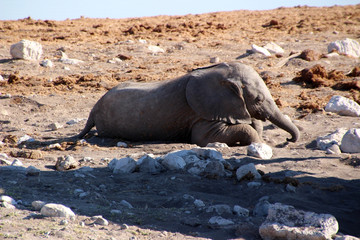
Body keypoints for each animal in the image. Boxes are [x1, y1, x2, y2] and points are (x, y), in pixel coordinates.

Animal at [77, 61, 300, 146]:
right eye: (259, 99)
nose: (288, 140)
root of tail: (93, 108)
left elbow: (251, 123)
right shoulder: (201, 112)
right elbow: (203, 137)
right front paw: (258, 144)